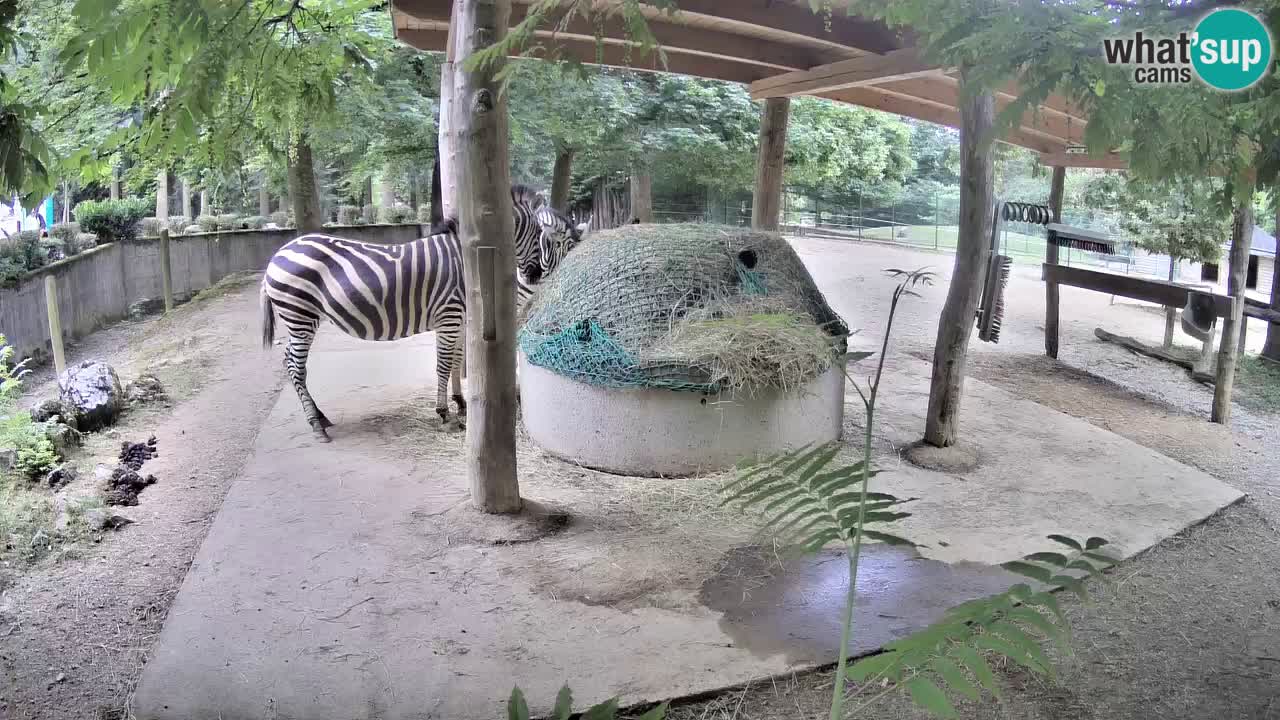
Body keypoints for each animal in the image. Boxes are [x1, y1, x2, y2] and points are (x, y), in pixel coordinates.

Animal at [260, 187, 584, 442]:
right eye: (547, 238)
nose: (534, 275)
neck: (471, 258)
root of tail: (277, 255)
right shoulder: (450, 316)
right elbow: (443, 365)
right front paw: (444, 414)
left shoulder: (461, 318)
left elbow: (456, 361)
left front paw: (461, 403)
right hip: (300, 315)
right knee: (296, 367)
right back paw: (316, 425)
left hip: (304, 318)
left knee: (290, 362)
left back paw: (321, 417)